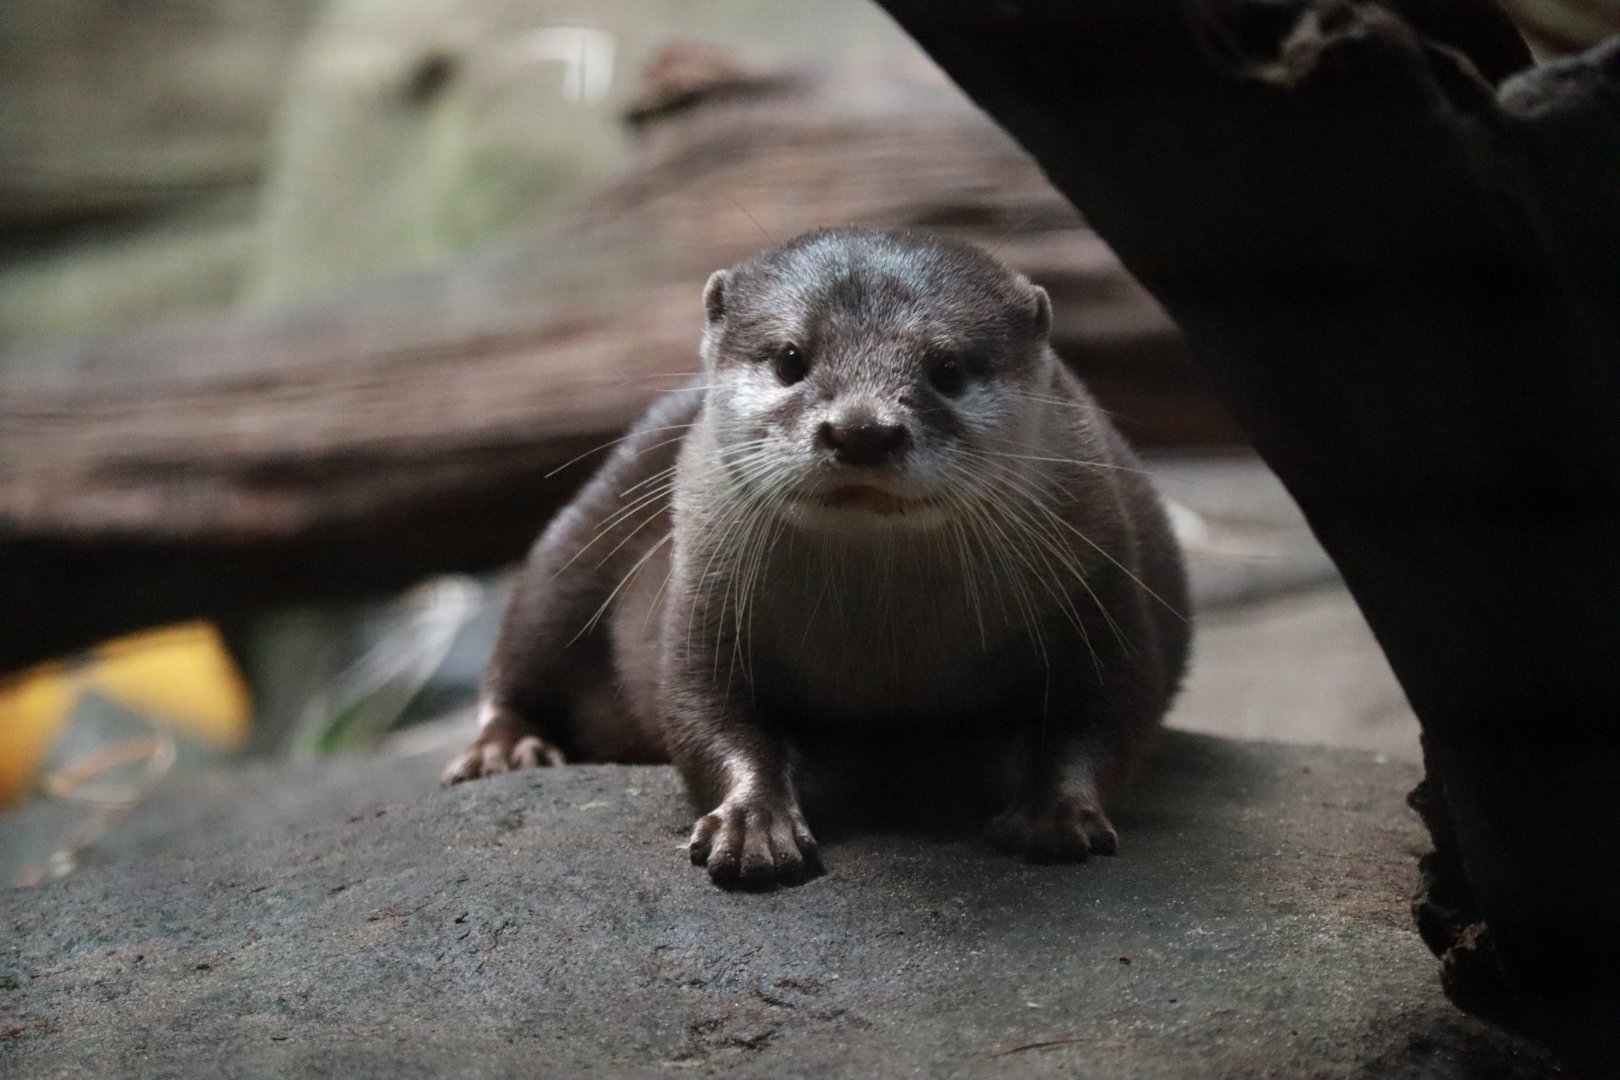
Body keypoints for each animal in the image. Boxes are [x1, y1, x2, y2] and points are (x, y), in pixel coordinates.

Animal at [445, 227, 1190, 888]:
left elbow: (1112, 710)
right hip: (579, 540)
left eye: (948, 369)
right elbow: (701, 712)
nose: (862, 430)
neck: (886, 645)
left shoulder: (1100, 578)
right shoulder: (705, 599)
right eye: (789, 358)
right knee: (522, 647)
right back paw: (504, 750)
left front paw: (1054, 812)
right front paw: (753, 821)